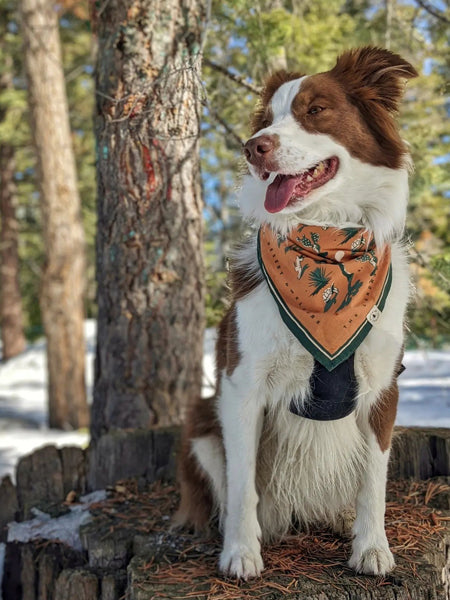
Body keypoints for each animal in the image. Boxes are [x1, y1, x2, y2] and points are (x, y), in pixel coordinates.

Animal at [175, 48, 418, 580]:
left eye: (316, 110)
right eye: (267, 120)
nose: (253, 148)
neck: (326, 243)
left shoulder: (382, 386)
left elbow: (374, 478)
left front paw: (371, 547)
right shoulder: (241, 385)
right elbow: (242, 482)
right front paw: (241, 552)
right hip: (201, 422)